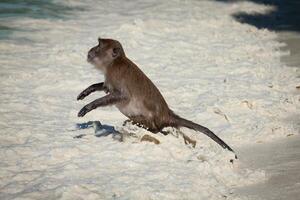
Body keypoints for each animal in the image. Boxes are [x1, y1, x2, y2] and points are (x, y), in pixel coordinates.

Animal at [77, 37, 237, 156]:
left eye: (98, 46)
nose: (91, 50)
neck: (115, 62)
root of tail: (166, 115)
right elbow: (105, 88)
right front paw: (87, 91)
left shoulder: (115, 73)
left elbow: (122, 96)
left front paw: (88, 106)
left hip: (150, 119)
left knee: (151, 127)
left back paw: (148, 129)